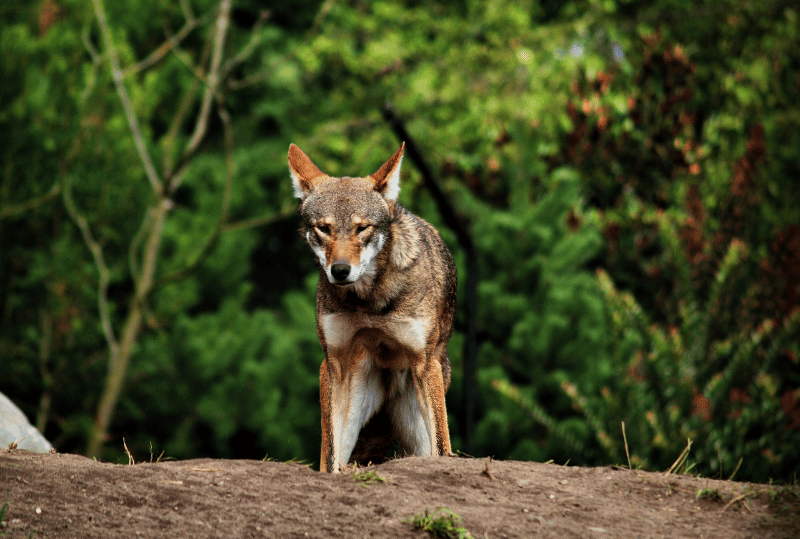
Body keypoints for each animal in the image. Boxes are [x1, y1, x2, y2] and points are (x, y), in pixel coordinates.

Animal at [290, 142, 456, 472]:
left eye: (362, 228)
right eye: (323, 228)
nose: (340, 270)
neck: (368, 301)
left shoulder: (424, 361)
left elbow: (443, 449)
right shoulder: (333, 362)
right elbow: (330, 457)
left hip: (419, 419)